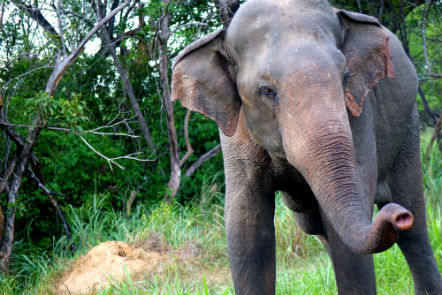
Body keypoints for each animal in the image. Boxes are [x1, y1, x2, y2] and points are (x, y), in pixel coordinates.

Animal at [170, 0, 442, 295]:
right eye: (266, 91)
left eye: (345, 76)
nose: (395, 215)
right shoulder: (234, 134)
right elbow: (246, 230)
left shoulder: (359, 113)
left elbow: (348, 242)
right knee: (317, 227)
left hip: (408, 131)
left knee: (413, 225)